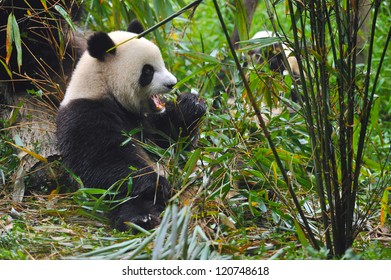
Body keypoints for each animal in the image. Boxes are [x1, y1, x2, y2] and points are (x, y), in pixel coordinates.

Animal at [57, 21, 208, 232]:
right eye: (148, 71)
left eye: (161, 62)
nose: (172, 84)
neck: (102, 86)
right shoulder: (85, 114)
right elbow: (106, 159)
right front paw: (157, 184)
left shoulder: (147, 121)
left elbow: (172, 141)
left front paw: (192, 104)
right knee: (126, 198)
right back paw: (141, 218)